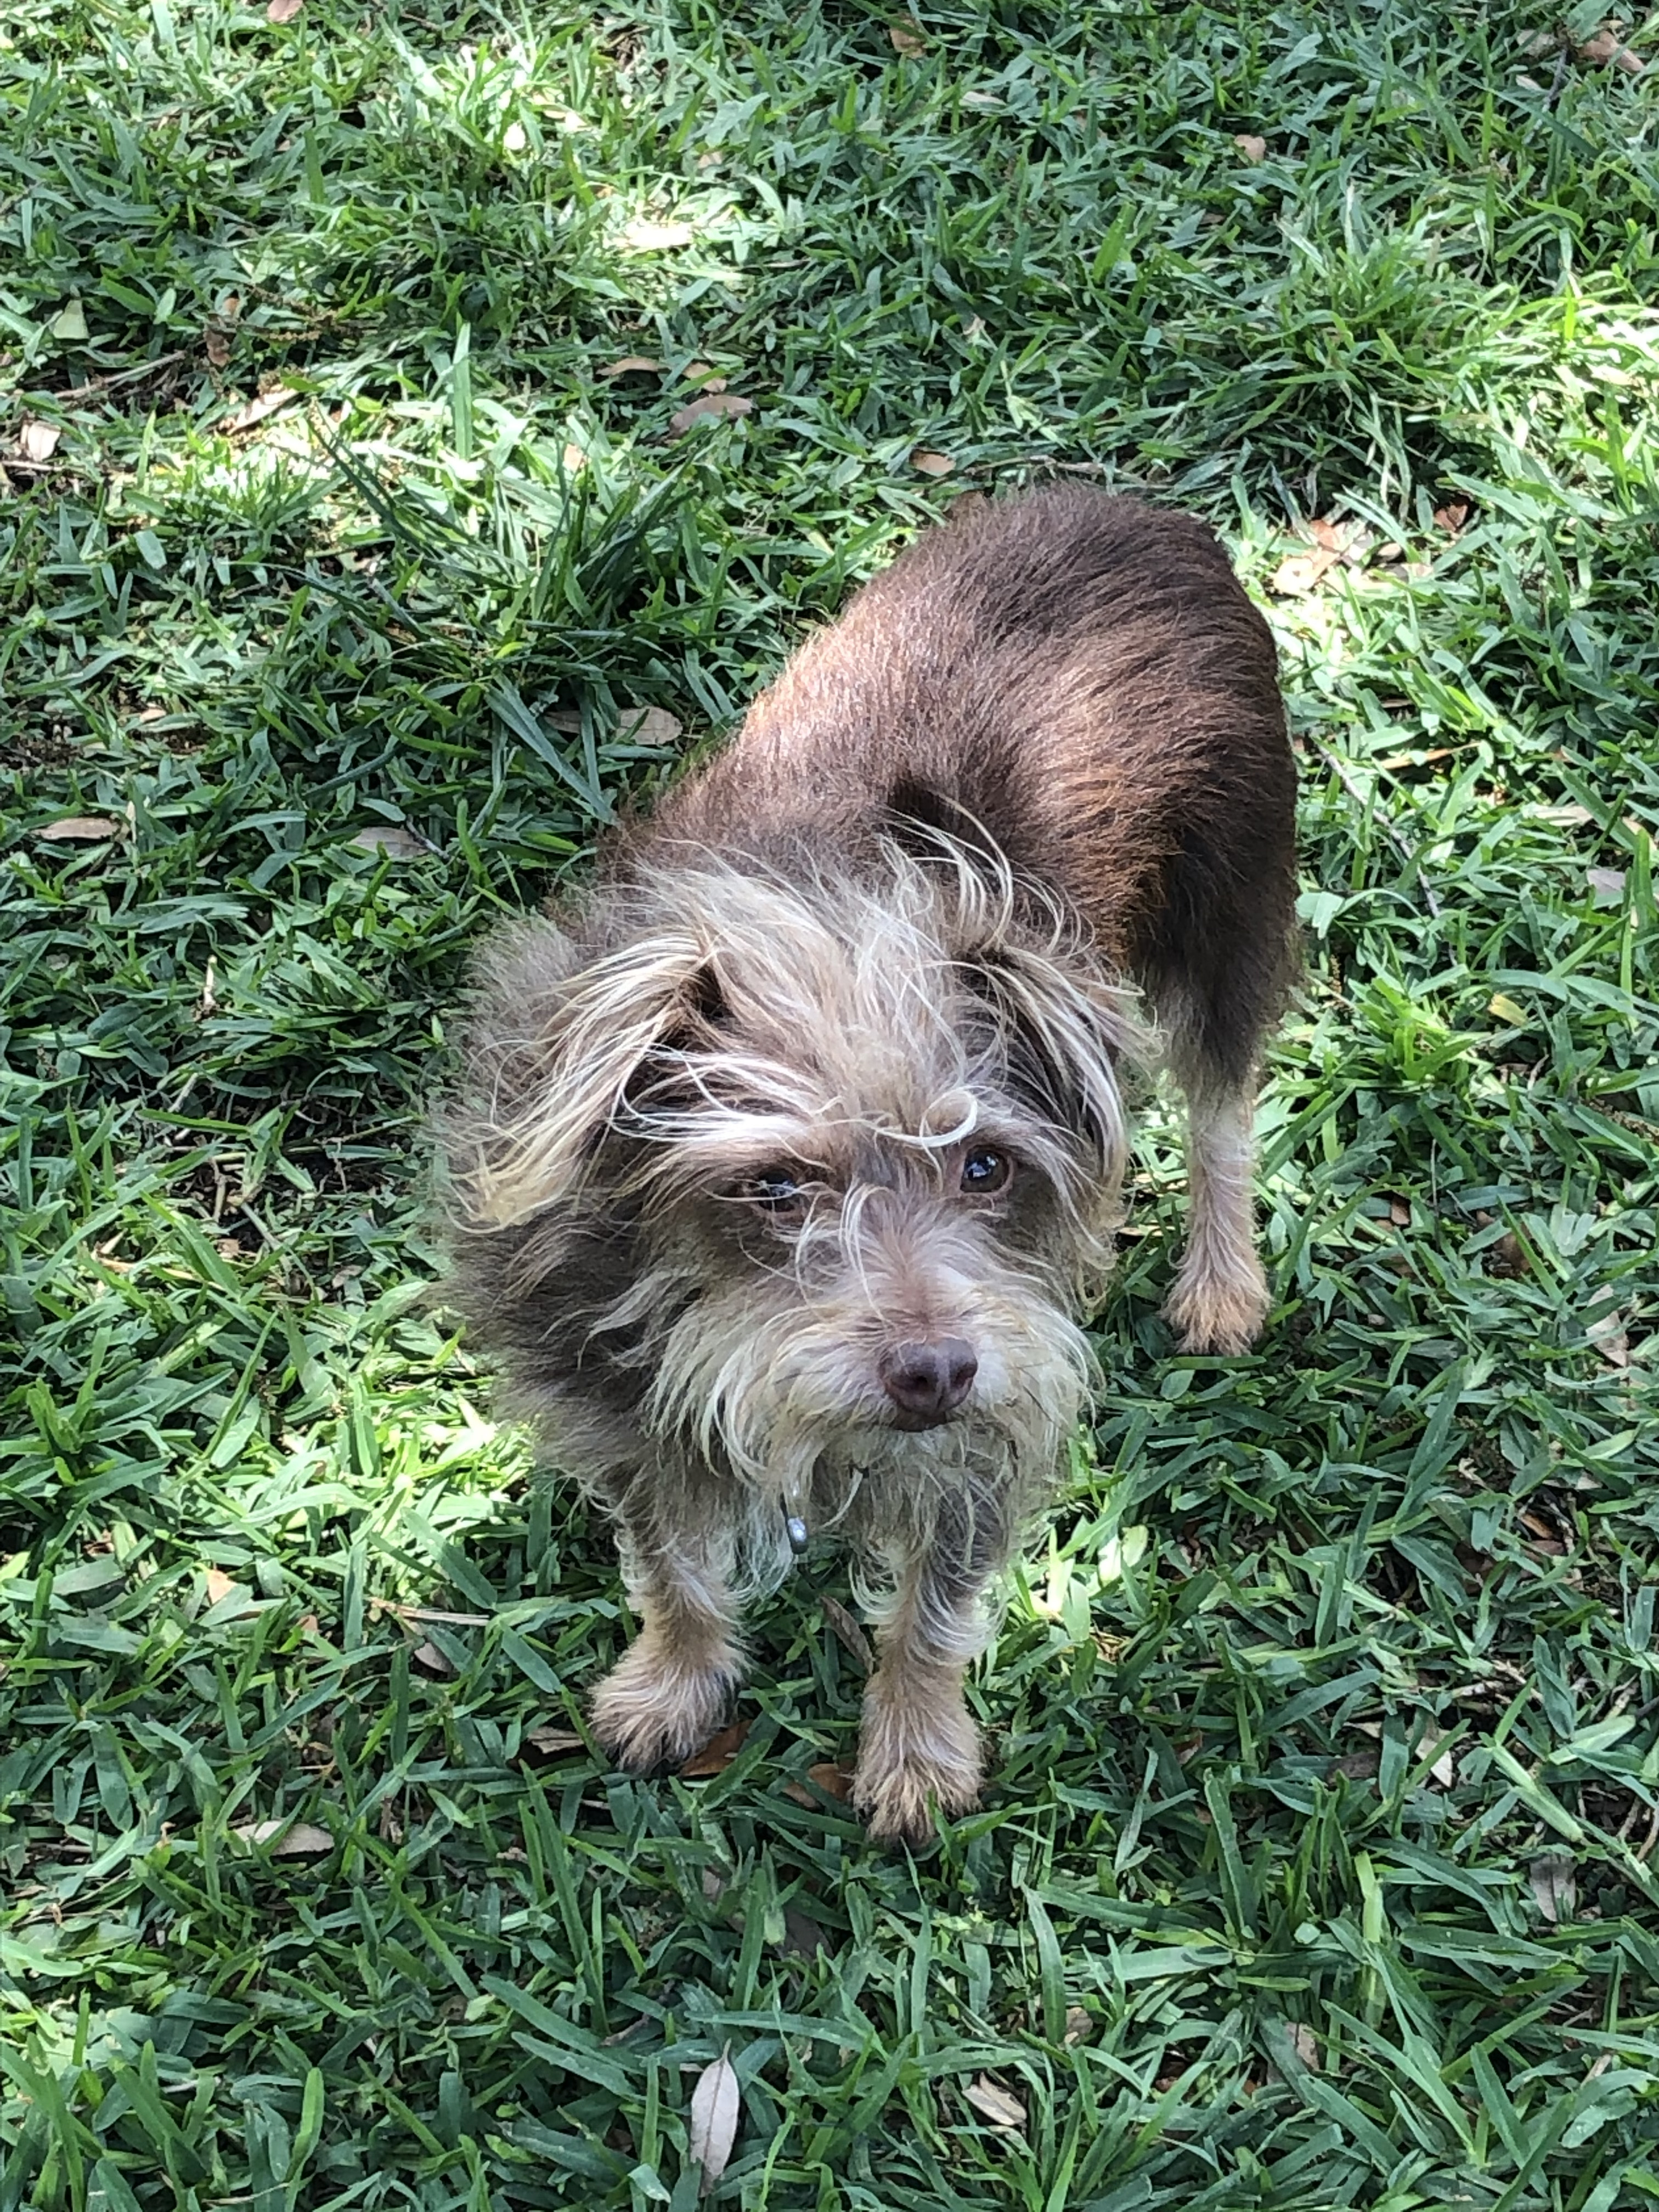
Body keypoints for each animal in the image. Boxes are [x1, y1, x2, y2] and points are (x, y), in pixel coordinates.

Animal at [449, 489, 1309, 1849]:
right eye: (776, 1187)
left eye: (986, 1169)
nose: (936, 1370)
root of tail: (1135, 506)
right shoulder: (615, 1400)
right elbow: (672, 1564)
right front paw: (675, 1681)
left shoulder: (990, 1428)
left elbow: (933, 1607)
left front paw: (914, 1748)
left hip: (1228, 902)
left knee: (1223, 1105)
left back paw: (1221, 1278)